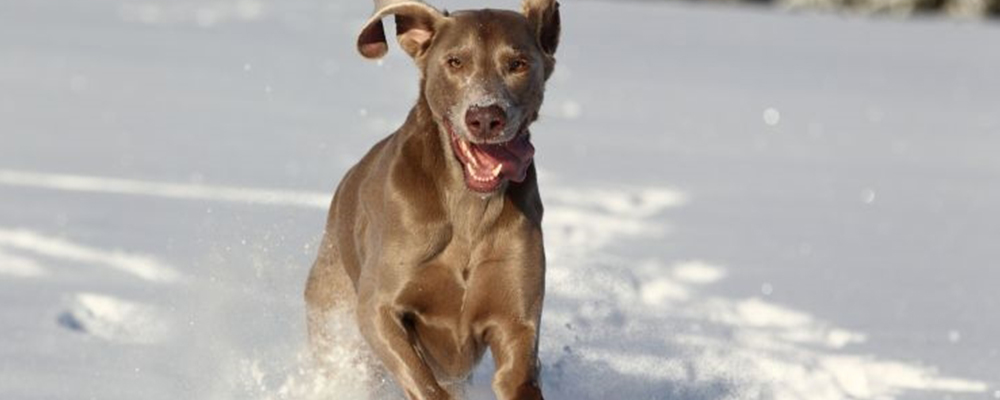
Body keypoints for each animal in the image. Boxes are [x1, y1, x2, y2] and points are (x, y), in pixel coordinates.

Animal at [302, 0, 564, 396]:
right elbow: (424, 382)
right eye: (455, 61)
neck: (470, 209)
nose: (485, 116)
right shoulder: (377, 308)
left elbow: (517, 376)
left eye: (518, 63)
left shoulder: (517, 321)